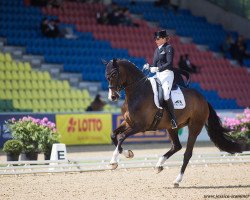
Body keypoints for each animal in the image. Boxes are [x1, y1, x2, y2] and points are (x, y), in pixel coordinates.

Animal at [102, 58, 243, 187]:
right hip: (171, 127)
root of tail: (202, 99)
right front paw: (127, 154)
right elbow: (113, 135)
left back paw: (177, 180)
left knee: (187, 153)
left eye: (114, 74)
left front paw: (113, 162)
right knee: (177, 146)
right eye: (106, 76)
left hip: (195, 127)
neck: (137, 92)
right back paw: (159, 165)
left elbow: (121, 137)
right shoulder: (128, 123)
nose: (112, 97)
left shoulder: (140, 126)